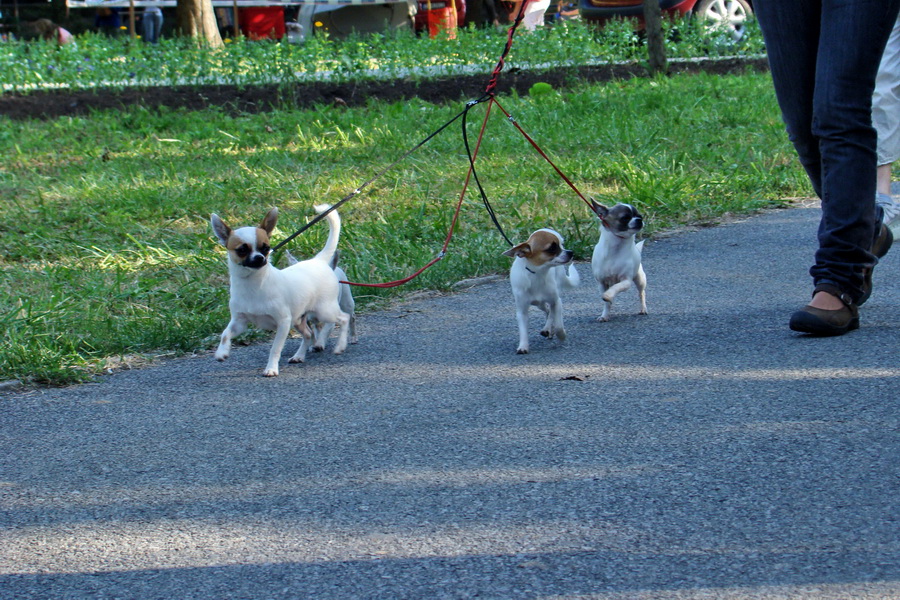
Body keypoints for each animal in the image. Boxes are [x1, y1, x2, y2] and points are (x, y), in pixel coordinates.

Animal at [211, 205, 352, 376]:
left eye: (266, 248)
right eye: (241, 250)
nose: (260, 258)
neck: (254, 284)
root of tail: (319, 261)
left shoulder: (283, 323)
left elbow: (275, 348)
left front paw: (271, 368)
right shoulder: (239, 322)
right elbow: (225, 334)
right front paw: (222, 352)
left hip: (324, 311)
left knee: (344, 318)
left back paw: (341, 345)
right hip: (299, 319)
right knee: (308, 334)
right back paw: (299, 356)